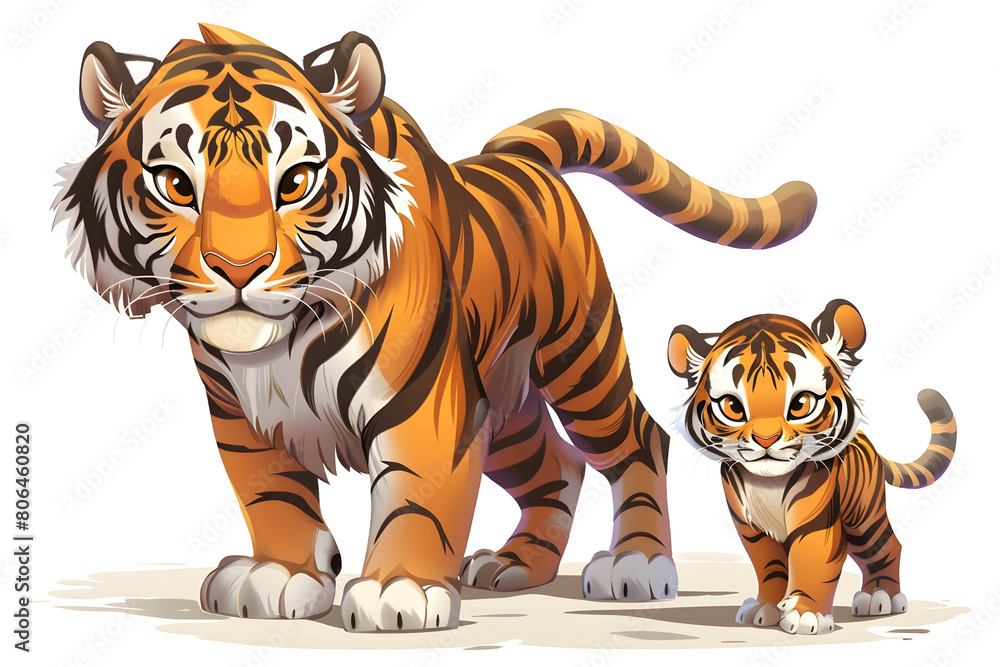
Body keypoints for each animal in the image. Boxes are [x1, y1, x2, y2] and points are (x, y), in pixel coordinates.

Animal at [53, 24, 818, 631]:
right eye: (176, 186)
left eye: (295, 182)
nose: (238, 268)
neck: (279, 343)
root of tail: (519, 156)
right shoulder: (240, 414)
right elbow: (270, 494)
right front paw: (281, 573)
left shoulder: (426, 406)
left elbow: (417, 499)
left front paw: (401, 591)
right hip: (501, 407)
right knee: (558, 466)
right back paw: (517, 564)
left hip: (580, 360)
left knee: (637, 440)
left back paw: (636, 562)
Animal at [667, 299, 957, 635]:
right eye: (733, 407)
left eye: (800, 404)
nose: (765, 439)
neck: (768, 483)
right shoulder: (751, 529)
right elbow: (769, 567)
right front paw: (766, 607)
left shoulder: (817, 522)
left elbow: (814, 564)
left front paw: (807, 616)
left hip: (862, 517)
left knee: (888, 546)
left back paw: (879, 596)